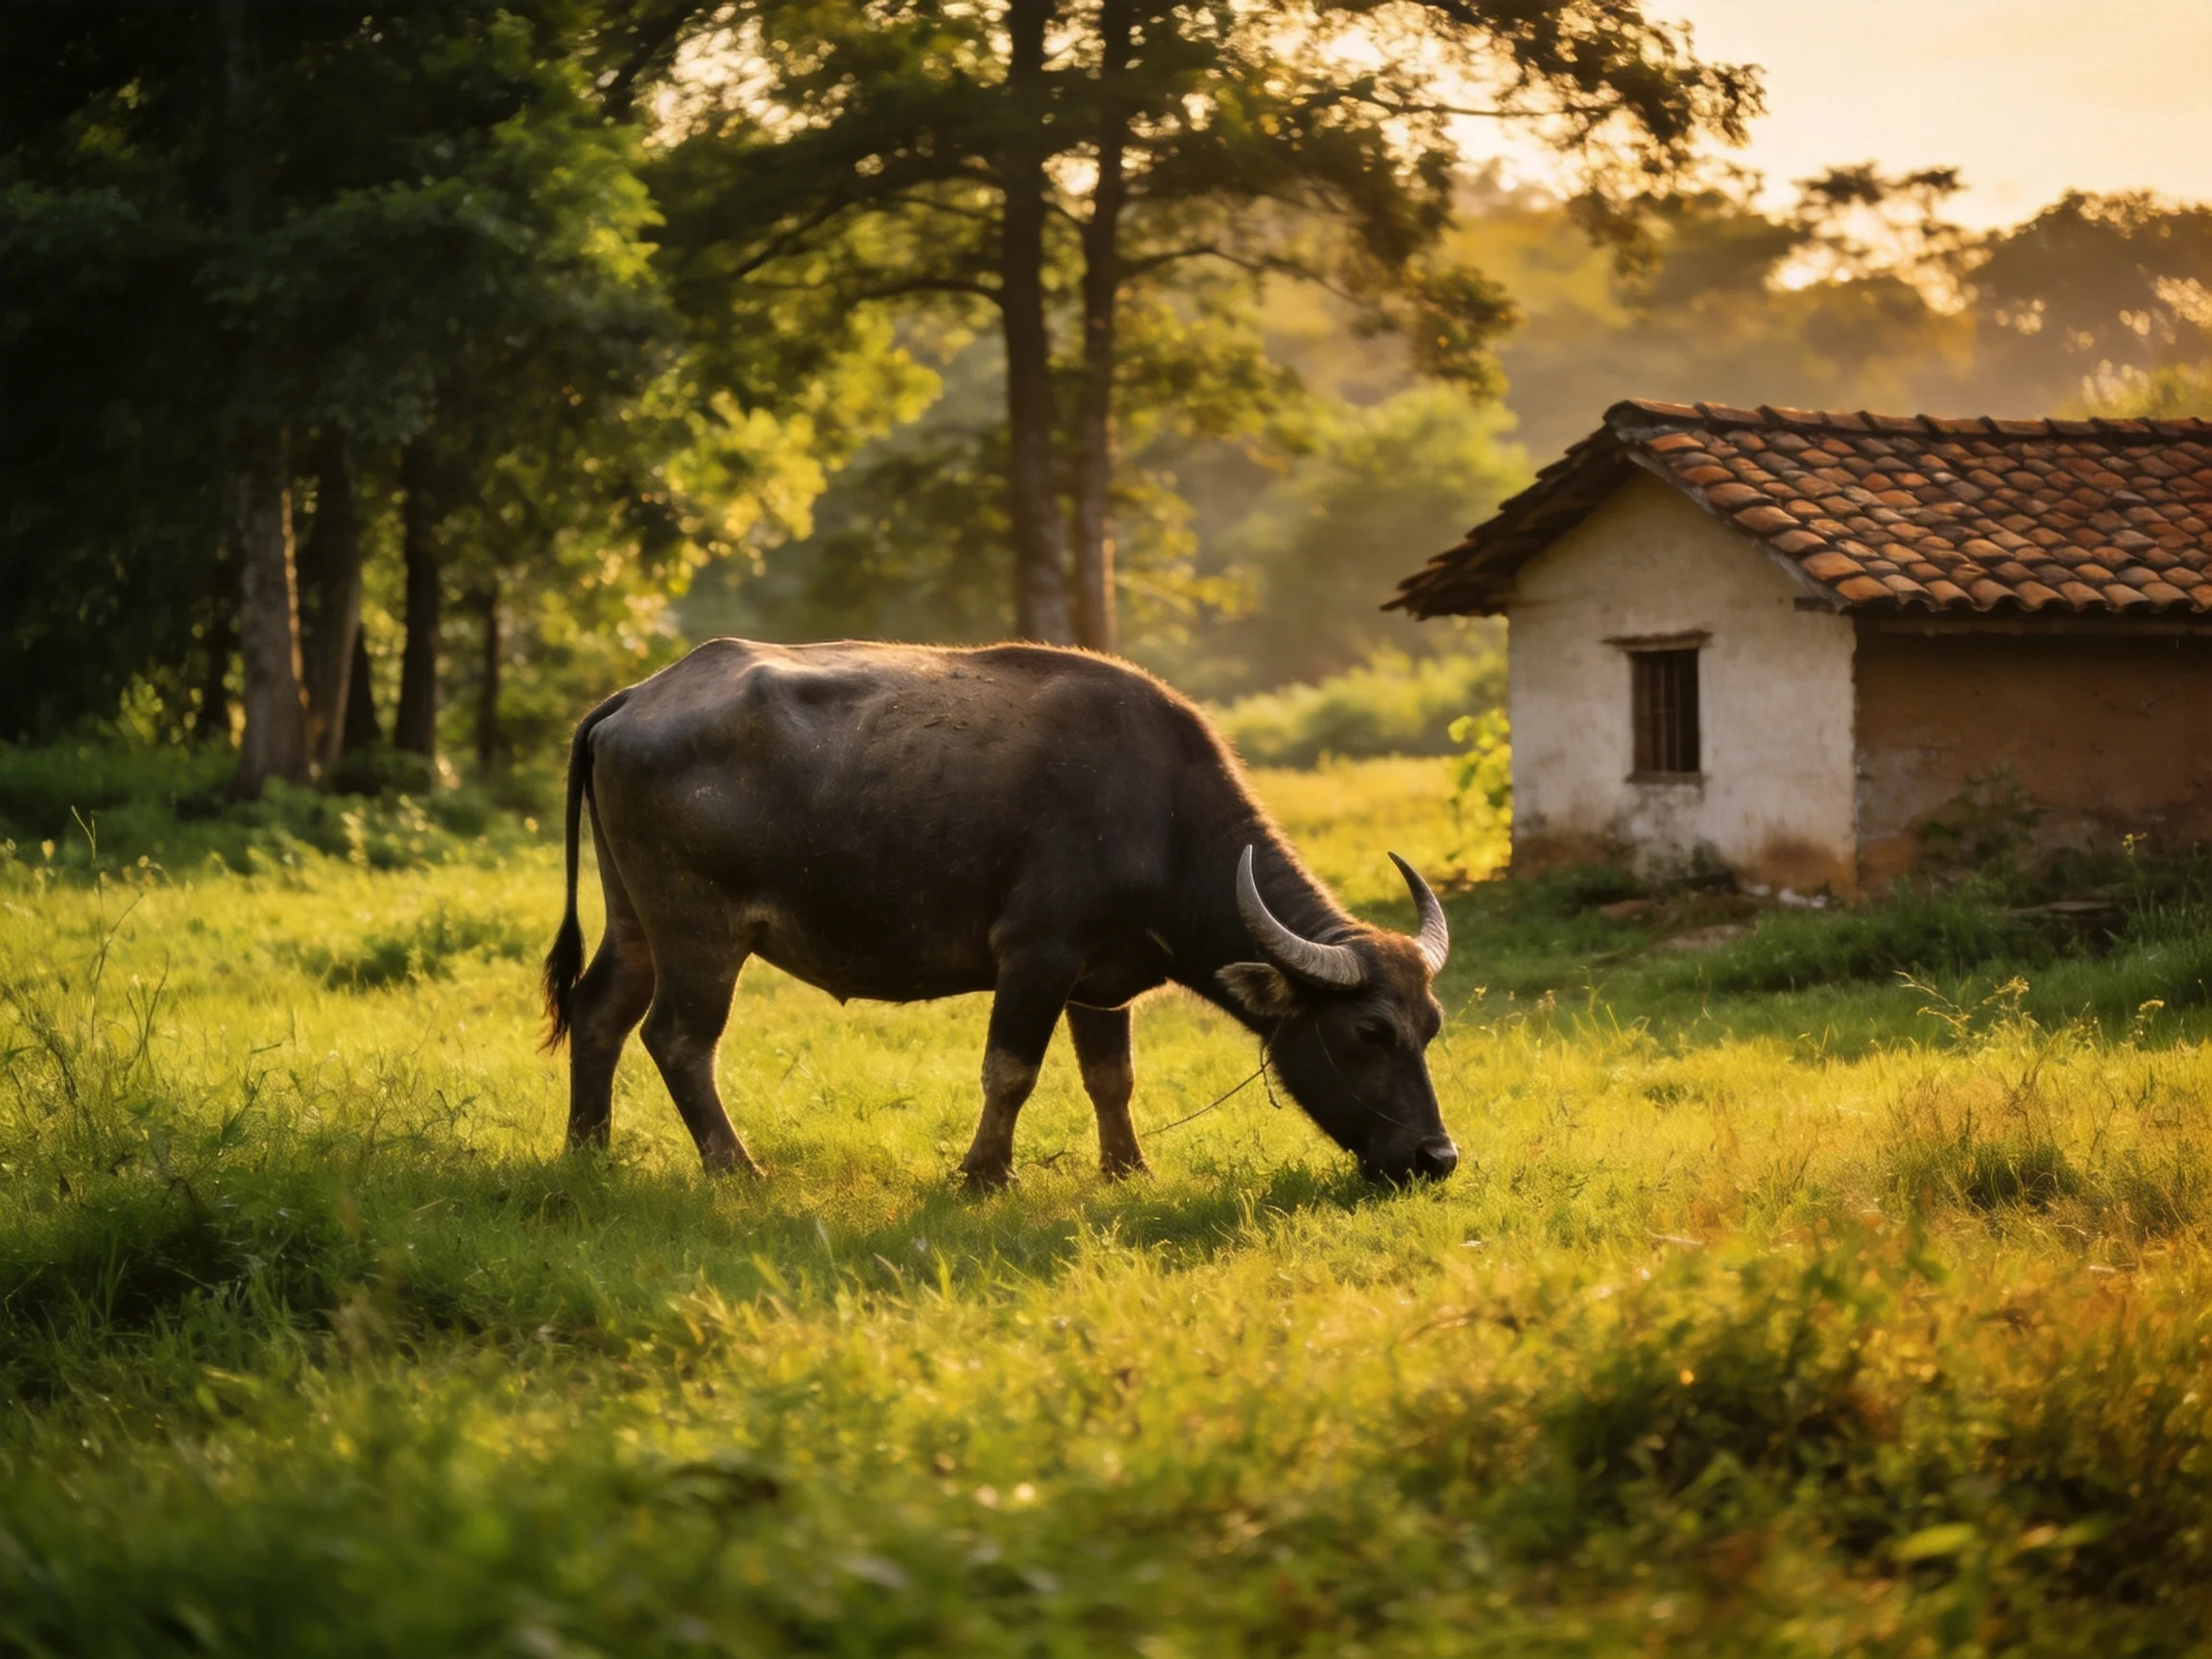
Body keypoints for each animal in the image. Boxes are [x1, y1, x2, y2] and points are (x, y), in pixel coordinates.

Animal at [543, 639, 1458, 1186]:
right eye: (1369, 1031)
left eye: (1432, 1027)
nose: (1436, 1156)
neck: (1161, 816)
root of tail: (637, 696)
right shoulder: (1037, 956)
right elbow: (1011, 1070)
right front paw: (985, 1173)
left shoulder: (1102, 983)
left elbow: (1111, 1077)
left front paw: (1128, 1170)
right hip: (700, 929)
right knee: (678, 1039)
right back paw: (736, 1167)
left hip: (634, 920)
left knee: (599, 1012)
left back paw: (588, 1149)